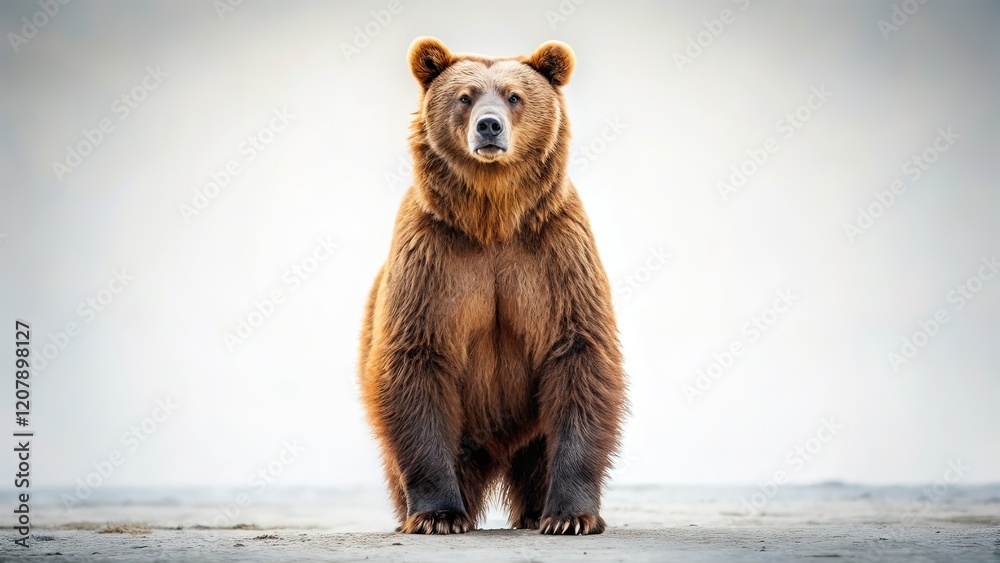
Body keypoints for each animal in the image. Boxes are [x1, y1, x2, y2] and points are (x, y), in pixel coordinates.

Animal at [358, 37, 626, 536]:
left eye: (514, 96)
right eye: (464, 97)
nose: (489, 125)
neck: (492, 219)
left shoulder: (555, 254)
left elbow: (578, 352)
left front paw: (570, 516)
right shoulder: (434, 258)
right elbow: (417, 358)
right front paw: (439, 515)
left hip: (531, 431)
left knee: (537, 454)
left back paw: (535, 510)